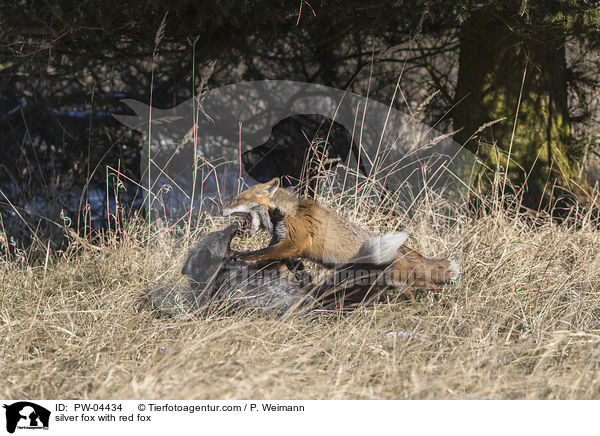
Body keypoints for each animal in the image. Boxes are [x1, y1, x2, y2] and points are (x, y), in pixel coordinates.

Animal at [221, 177, 460, 296]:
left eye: (239, 199)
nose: (222, 210)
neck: (284, 214)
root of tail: (404, 248)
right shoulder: (290, 253)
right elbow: (289, 269)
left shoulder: (293, 244)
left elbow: (260, 253)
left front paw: (240, 255)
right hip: (396, 282)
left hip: (405, 279)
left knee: (434, 285)